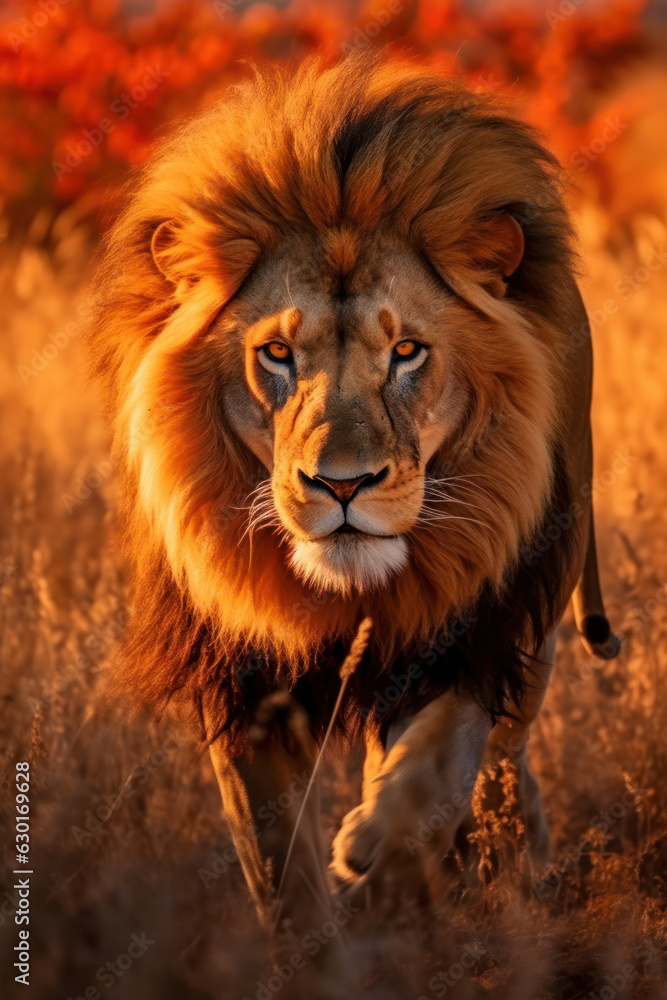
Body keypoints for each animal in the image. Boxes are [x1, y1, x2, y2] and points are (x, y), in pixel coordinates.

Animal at [87, 54, 619, 945]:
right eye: (275, 354)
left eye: (405, 351)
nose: (341, 484)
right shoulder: (238, 680)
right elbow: (274, 855)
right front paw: (314, 939)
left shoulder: (479, 618)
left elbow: (440, 753)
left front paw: (383, 852)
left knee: (501, 748)